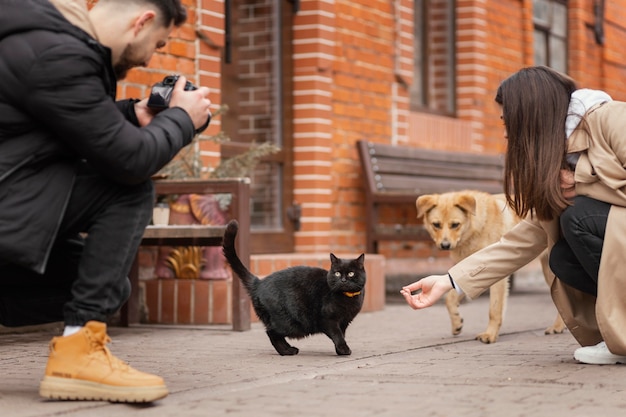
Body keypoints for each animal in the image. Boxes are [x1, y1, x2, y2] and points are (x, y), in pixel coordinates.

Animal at [221, 218, 364, 354]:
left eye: (351, 273)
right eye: (337, 273)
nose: (343, 280)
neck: (348, 298)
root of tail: (259, 283)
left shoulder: (344, 322)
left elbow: (341, 335)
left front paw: (339, 350)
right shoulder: (328, 320)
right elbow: (337, 335)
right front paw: (343, 350)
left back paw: (289, 349)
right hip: (289, 323)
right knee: (272, 333)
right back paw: (287, 351)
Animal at [414, 190, 564, 342]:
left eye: (455, 225)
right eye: (436, 224)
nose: (445, 245)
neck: (477, 228)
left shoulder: (498, 277)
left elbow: (494, 309)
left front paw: (490, 335)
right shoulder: (471, 273)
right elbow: (450, 298)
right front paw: (456, 322)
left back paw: (558, 326)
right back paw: (558, 326)